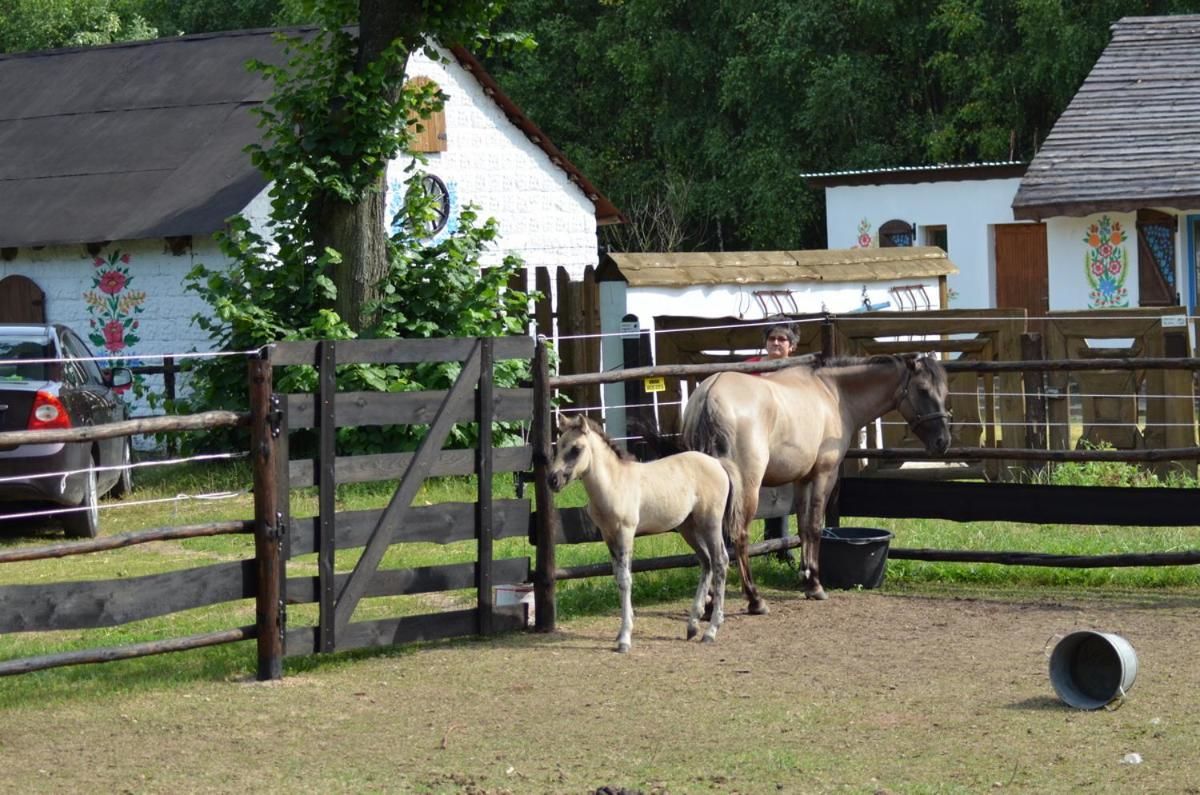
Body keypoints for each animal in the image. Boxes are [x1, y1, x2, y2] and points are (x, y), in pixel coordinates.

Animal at [547, 417, 734, 653]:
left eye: (576, 449)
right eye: (558, 446)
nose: (552, 480)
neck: (614, 483)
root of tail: (717, 464)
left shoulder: (625, 532)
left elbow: (626, 579)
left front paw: (625, 639)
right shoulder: (608, 535)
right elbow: (618, 577)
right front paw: (621, 633)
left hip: (710, 523)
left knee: (720, 562)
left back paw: (711, 630)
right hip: (688, 527)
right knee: (706, 562)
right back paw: (692, 625)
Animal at [681, 355, 950, 614]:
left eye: (945, 392)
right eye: (923, 390)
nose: (943, 442)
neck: (832, 392)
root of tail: (709, 395)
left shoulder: (802, 479)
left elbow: (802, 527)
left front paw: (805, 577)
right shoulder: (824, 475)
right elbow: (814, 527)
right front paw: (816, 585)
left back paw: (709, 602)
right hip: (747, 488)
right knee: (739, 535)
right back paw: (755, 600)